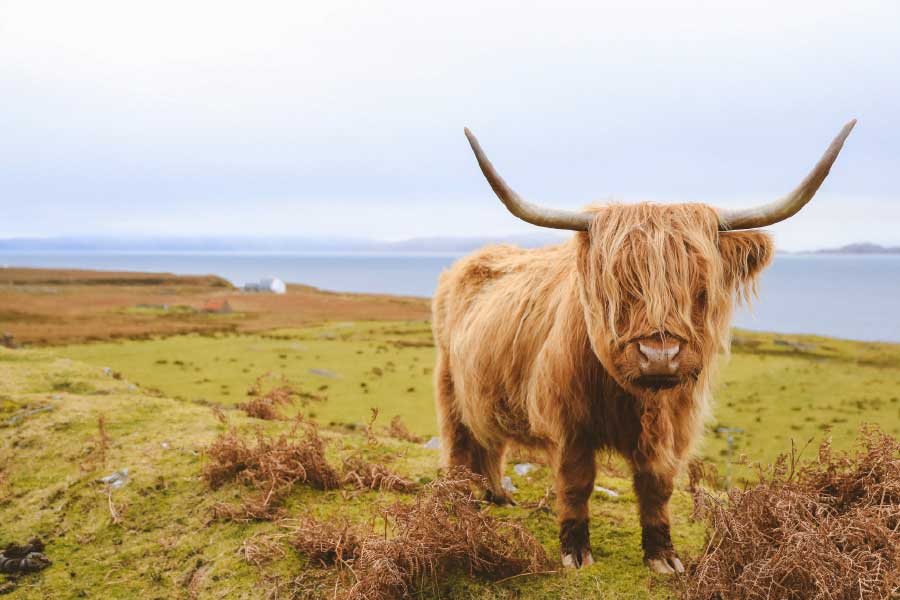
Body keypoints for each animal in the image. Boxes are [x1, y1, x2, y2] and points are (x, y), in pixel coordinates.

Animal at [432, 120, 856, 572]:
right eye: (620, 286)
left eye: (700, 286)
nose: (659, 357)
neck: (637, 398)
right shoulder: (568, 423)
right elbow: (576, 483)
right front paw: (576, 551)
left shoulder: (674, 427)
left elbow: (657, 487)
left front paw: (662, 555)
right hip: (450, 384)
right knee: (460, 442)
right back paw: (459, 503)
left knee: (490, 441)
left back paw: (498, 495)